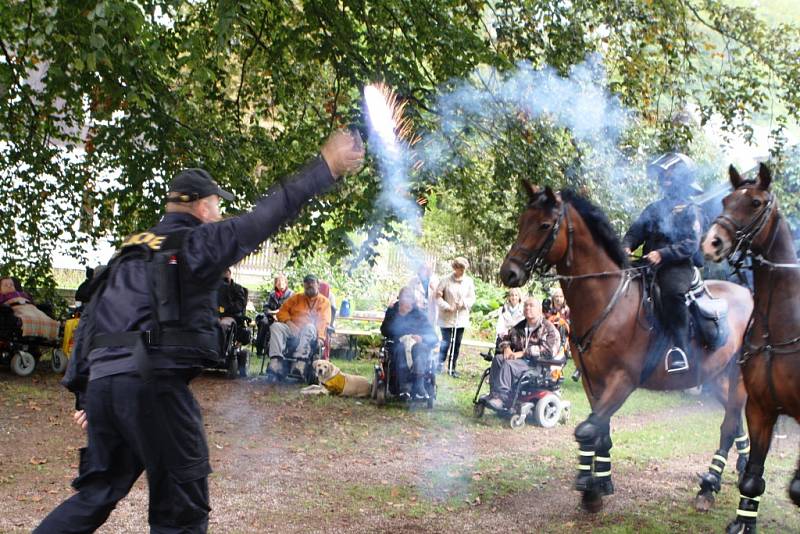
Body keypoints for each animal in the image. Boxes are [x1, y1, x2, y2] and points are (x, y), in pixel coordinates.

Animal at [500, 185, 756, 516]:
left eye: (544, 225)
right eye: (522, 221)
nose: (509, 273)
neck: (609, 302)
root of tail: (750, 296)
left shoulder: (623, 380)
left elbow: (586, 430)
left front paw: (589, 489)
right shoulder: (593, 382)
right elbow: (600, 430)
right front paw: (601, 483)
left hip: (737, 381)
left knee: (728, 426)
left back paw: (709, 487)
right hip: (717, 379)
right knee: (735, 423)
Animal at [700, 164, 800, 534]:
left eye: (755, 202)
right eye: (727, 200)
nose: (712, 241)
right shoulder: (760, 408)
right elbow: (753, 478)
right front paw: (743, 522)